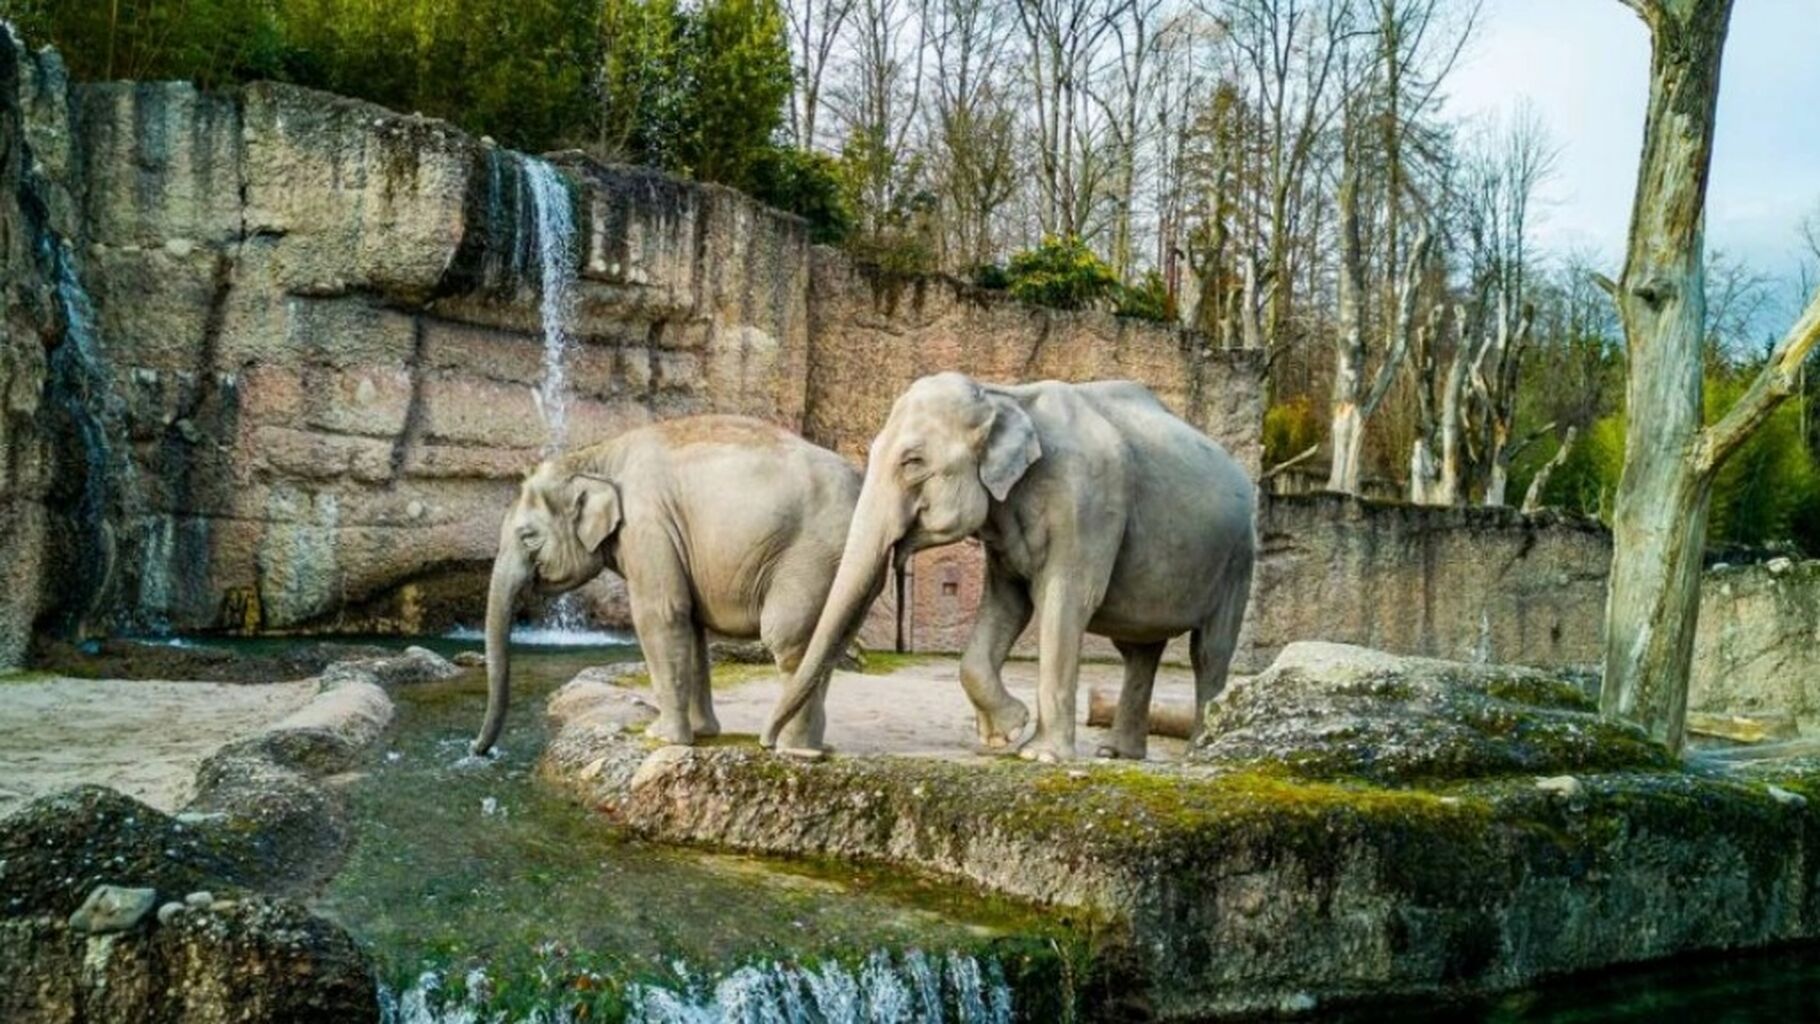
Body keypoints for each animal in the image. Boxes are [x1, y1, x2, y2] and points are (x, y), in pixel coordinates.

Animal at [470, 415, 860, 757]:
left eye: (527, 536)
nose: (477, 749)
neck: (597, 456)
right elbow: (690, 625)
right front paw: (702, 733)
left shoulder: (646, 524)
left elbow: (660, 613)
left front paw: (660, 736)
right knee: (826, 643)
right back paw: (812, 747)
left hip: (811, 558)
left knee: (788, 638)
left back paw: (792, 749)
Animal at [762, 372, 1256, 763]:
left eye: (913, 462)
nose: (768, 744)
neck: (1006, 397)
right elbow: (1007, 605)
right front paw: (1005, 733)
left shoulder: (1088, 505)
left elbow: (1067, 601)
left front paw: (1039, 754)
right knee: (1138, 651)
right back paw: (1115, 754)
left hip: (1238, 557)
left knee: (1209, 652)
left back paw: (1197, 753)